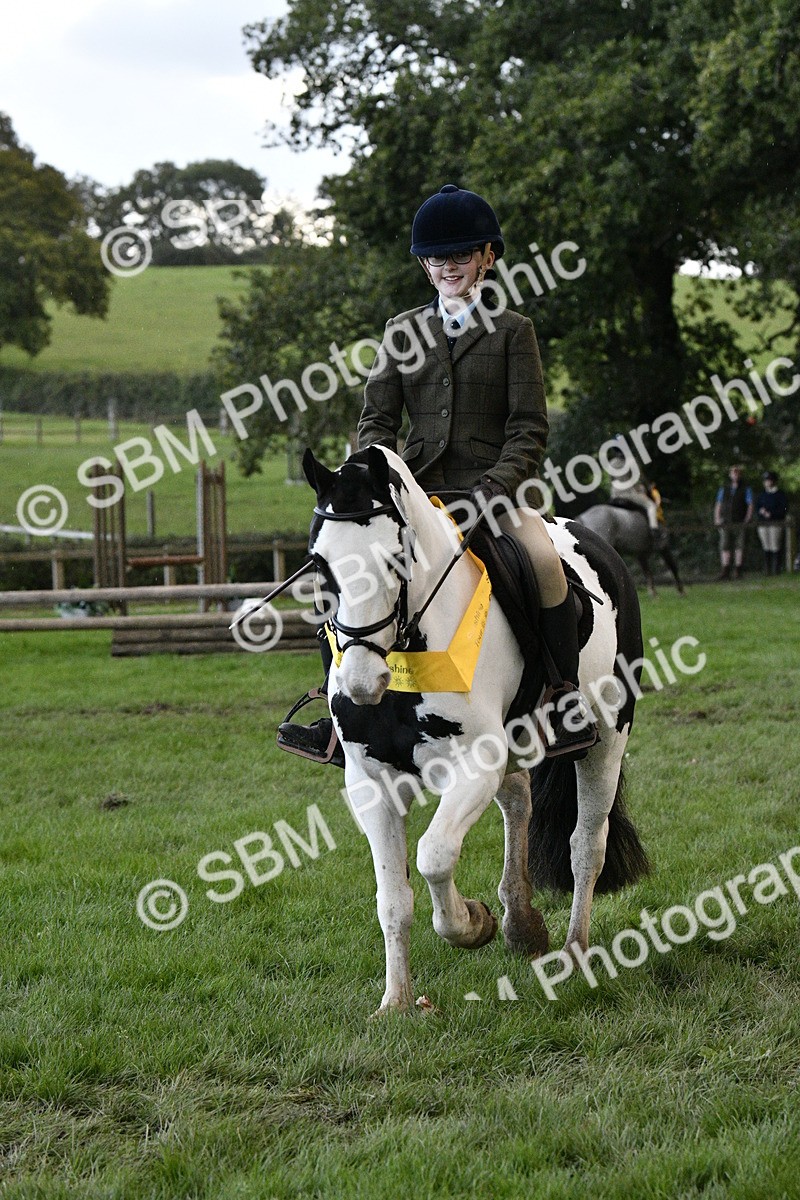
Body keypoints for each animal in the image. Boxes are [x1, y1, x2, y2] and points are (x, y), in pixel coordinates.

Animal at [302, 445, 649, 1016]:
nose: (361, 682)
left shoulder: (473, 767)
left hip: (607, 739)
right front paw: (396, 1002)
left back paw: (573, 951)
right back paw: (522, 925)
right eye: (319, 563)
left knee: (585, 845)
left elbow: (434, 855)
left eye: (395, 559)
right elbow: (392, 897)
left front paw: (471, 923)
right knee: (519, 802)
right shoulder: (371, 782)